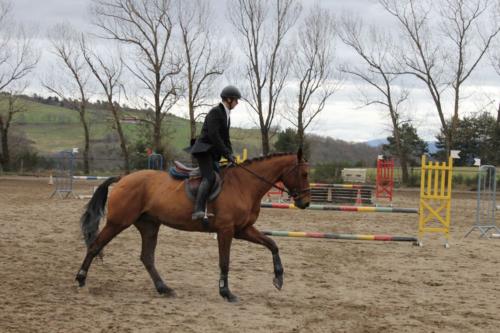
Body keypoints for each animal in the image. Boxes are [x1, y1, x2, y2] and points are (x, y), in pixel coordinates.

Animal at [74, 149, 310, 302]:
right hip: (118, 222)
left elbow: (272, 244)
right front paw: (226, 293)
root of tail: (124, 178)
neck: (244, 184)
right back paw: (80, 279)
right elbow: (225, 262)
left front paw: (278, 278)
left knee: (146, 257)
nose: (305, 203)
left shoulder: (242, 230)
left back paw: (164, 288)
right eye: (304, 173)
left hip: (149, 226)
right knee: (95, 247)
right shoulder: (226, 231)